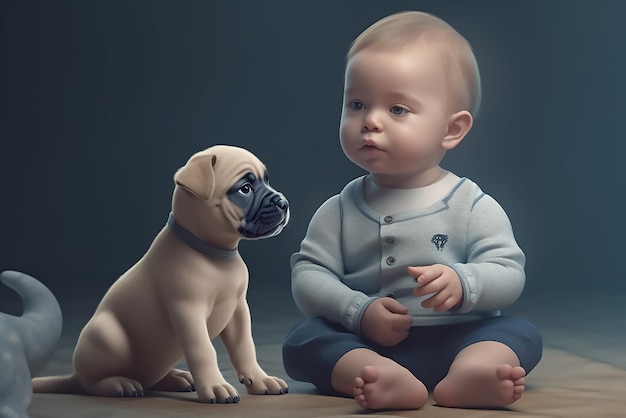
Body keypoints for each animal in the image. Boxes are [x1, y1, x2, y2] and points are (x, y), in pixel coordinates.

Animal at [32, 145, 290, 404]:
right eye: (245, 188)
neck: (214, 255)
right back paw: (118, 383)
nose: (284, 202)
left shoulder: (238, 310)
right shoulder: (189, 312)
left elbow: (244, 347)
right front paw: (216, 386)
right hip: (108, 335)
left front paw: (260, 380)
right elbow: (203, 351)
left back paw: (176, 377)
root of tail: (73, 376)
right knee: (92, 381)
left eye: (267, 181)